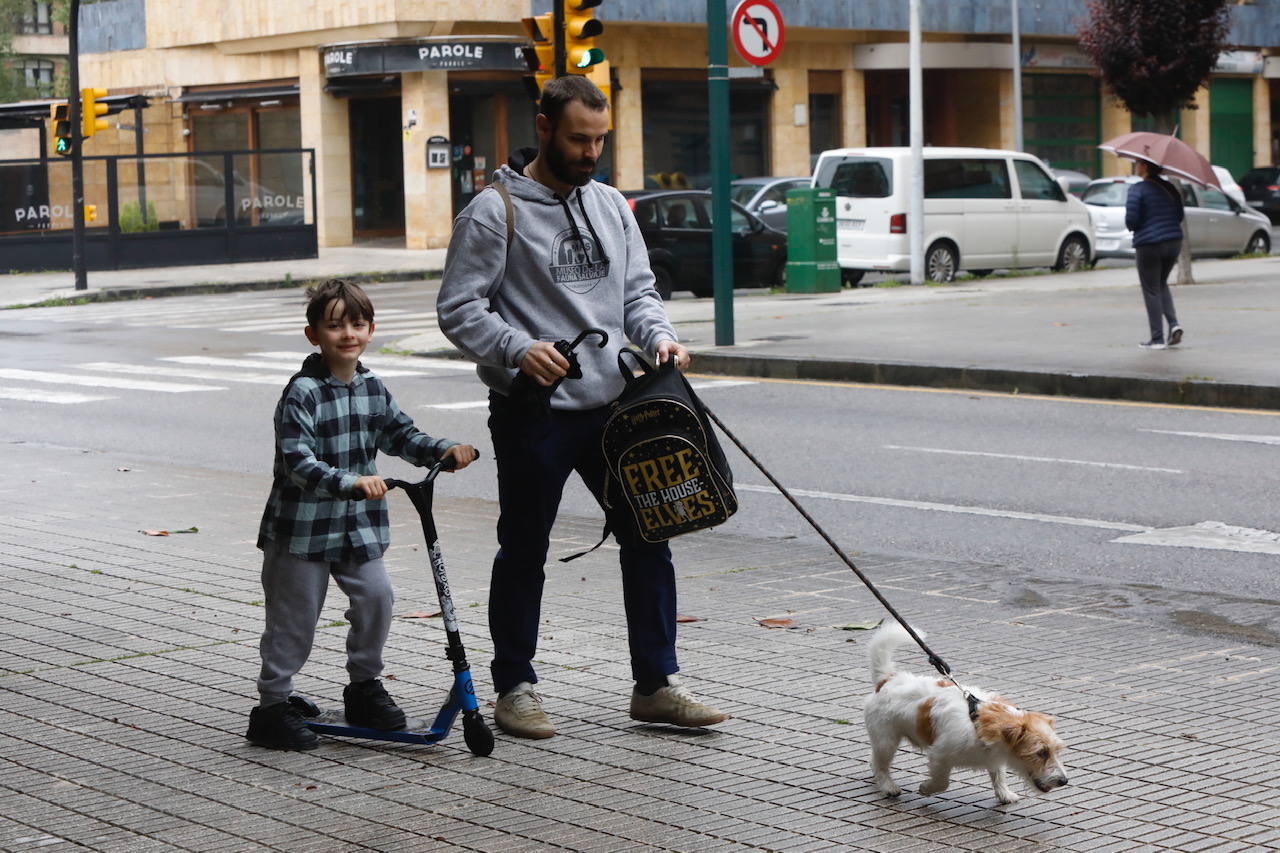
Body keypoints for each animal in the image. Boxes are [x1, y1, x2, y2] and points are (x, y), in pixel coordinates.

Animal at [860, 617, 1070, 804]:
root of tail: (887, 679)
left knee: (874, 760)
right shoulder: (939, 756)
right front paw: (926, 788)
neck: (978, 722)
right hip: (886, 740)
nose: (1064, 781)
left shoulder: (994, 759)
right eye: (1041, 753)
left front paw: (1004, 794)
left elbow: (998, 774)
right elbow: (942, 782)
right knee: (880, 763)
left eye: (1056, 751)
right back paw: (888, 786)